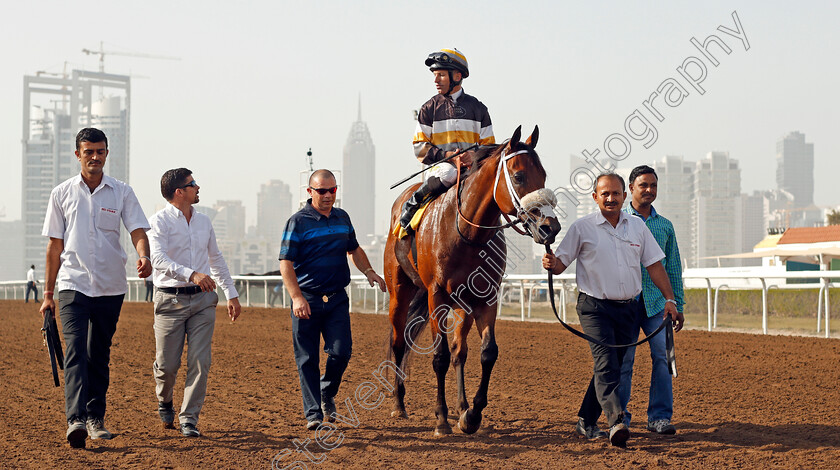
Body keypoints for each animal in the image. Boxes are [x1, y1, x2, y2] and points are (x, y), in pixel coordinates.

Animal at [384, 126, 560, 436]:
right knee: (399, 342)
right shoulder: (437, 297)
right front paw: (441, 419)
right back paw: (399, 404)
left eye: (544, 175)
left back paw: (462, 407)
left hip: (463, 305)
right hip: (400, 291)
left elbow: (487, 352)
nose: (550, 227)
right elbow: (439, 357)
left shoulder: (487, 298)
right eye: (518, 176)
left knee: (459, 352)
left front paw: (472, 414)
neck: (466, 234)